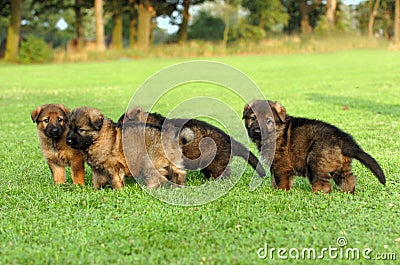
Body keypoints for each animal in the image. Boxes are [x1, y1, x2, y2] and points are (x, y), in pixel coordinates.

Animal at [242, 98, 386, 192]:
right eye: (252, 118)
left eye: (268, 121)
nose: (257, 131)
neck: (278, 132)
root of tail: (342, 138)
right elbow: (274, 178)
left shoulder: (281, 164)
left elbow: (281, 180)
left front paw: (280, 191)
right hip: (341, 166)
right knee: (349, 179)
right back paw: (348, 192)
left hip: (315, 161)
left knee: (324, 185)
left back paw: (315, 194)